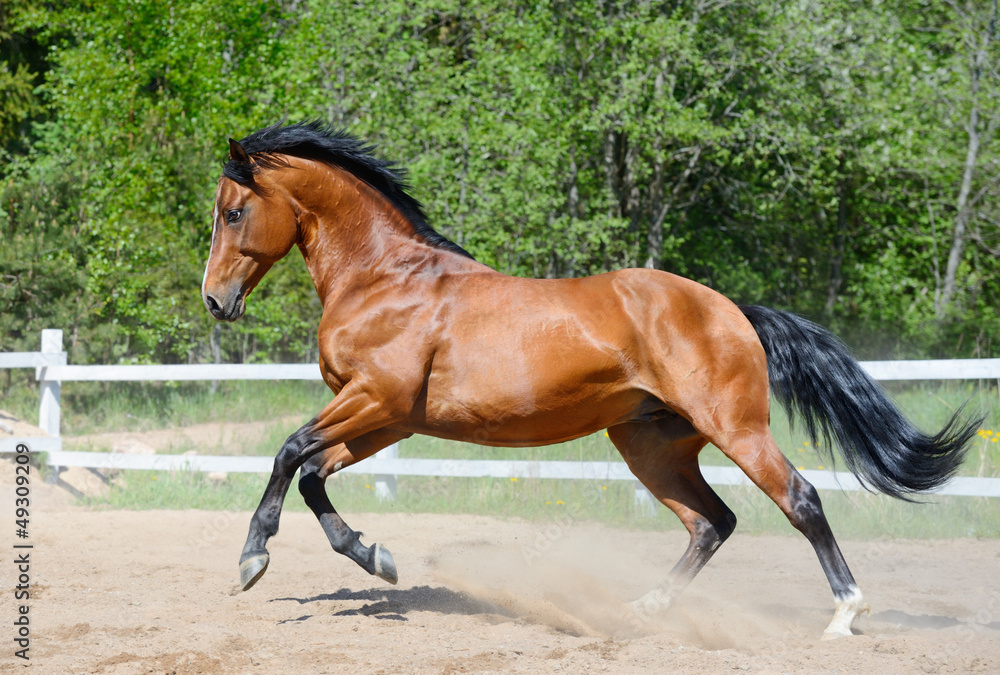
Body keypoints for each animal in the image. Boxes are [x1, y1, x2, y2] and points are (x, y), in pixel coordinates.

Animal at [201, 121, 979, 639]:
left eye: (233, 212)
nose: (214, 300)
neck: (387, 280)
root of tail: (733, 311)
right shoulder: (388, 417)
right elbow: (311, 472)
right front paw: (376, 557)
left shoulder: (374, 400)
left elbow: (287, 452)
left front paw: (251, 559)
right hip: (650, 443)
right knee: (712, 521)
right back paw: (645, 610)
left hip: (734, 427)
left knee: (800, 499)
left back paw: (845, 613)